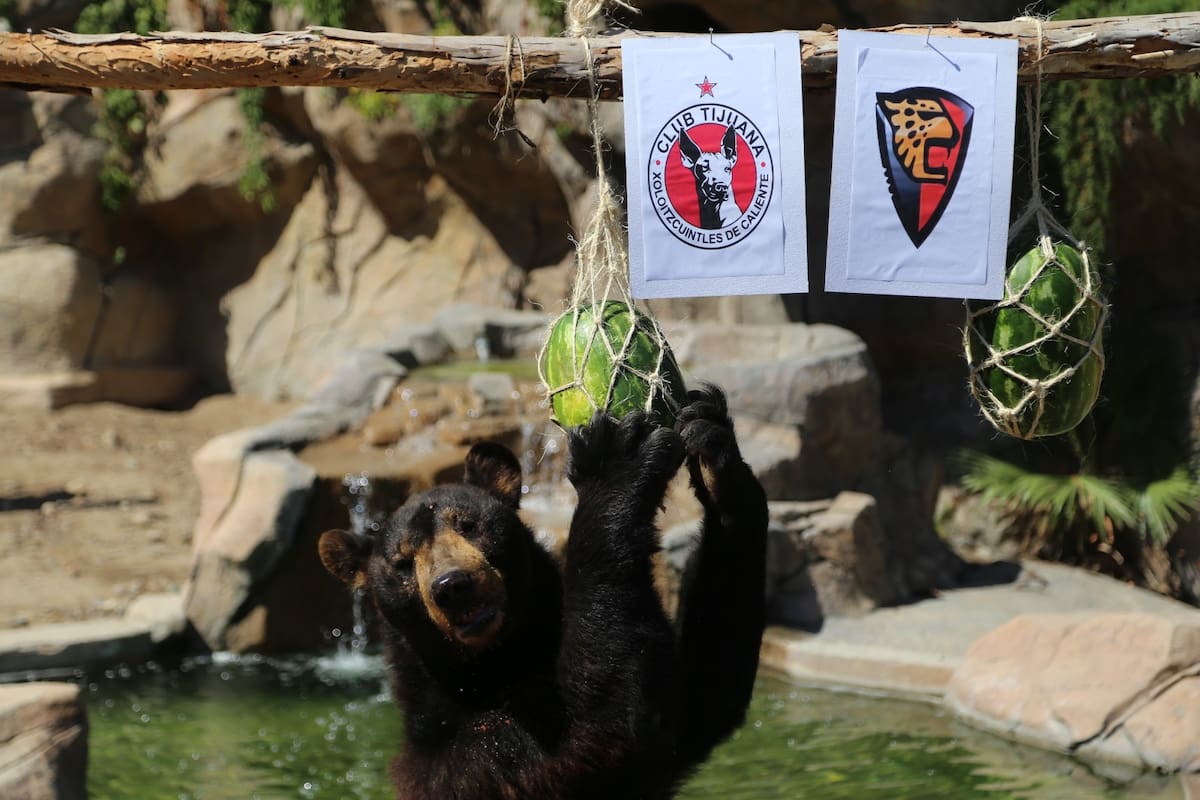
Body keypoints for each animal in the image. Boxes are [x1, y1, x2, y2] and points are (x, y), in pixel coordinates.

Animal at [318, 386, 768, 800]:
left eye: (468, 525)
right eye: (402, 562)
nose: (453, 586)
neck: (495, 662)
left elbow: (702, 698)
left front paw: (712, 442)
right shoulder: (470, 764)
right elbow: (589, 737)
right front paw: (616, 457)